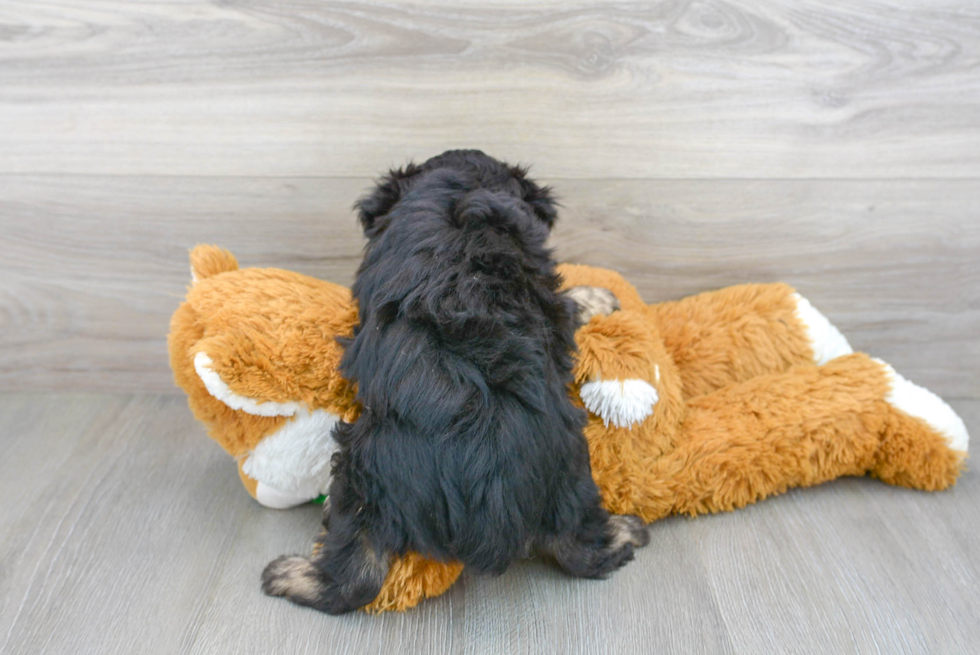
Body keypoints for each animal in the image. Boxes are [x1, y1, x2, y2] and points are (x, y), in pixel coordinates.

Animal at [260, 151, 648, 612]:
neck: (461, 190)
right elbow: (569, 303)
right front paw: (600, 298)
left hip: (364, 468)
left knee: (356, 572)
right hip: (569, 472)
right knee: (584, 548)